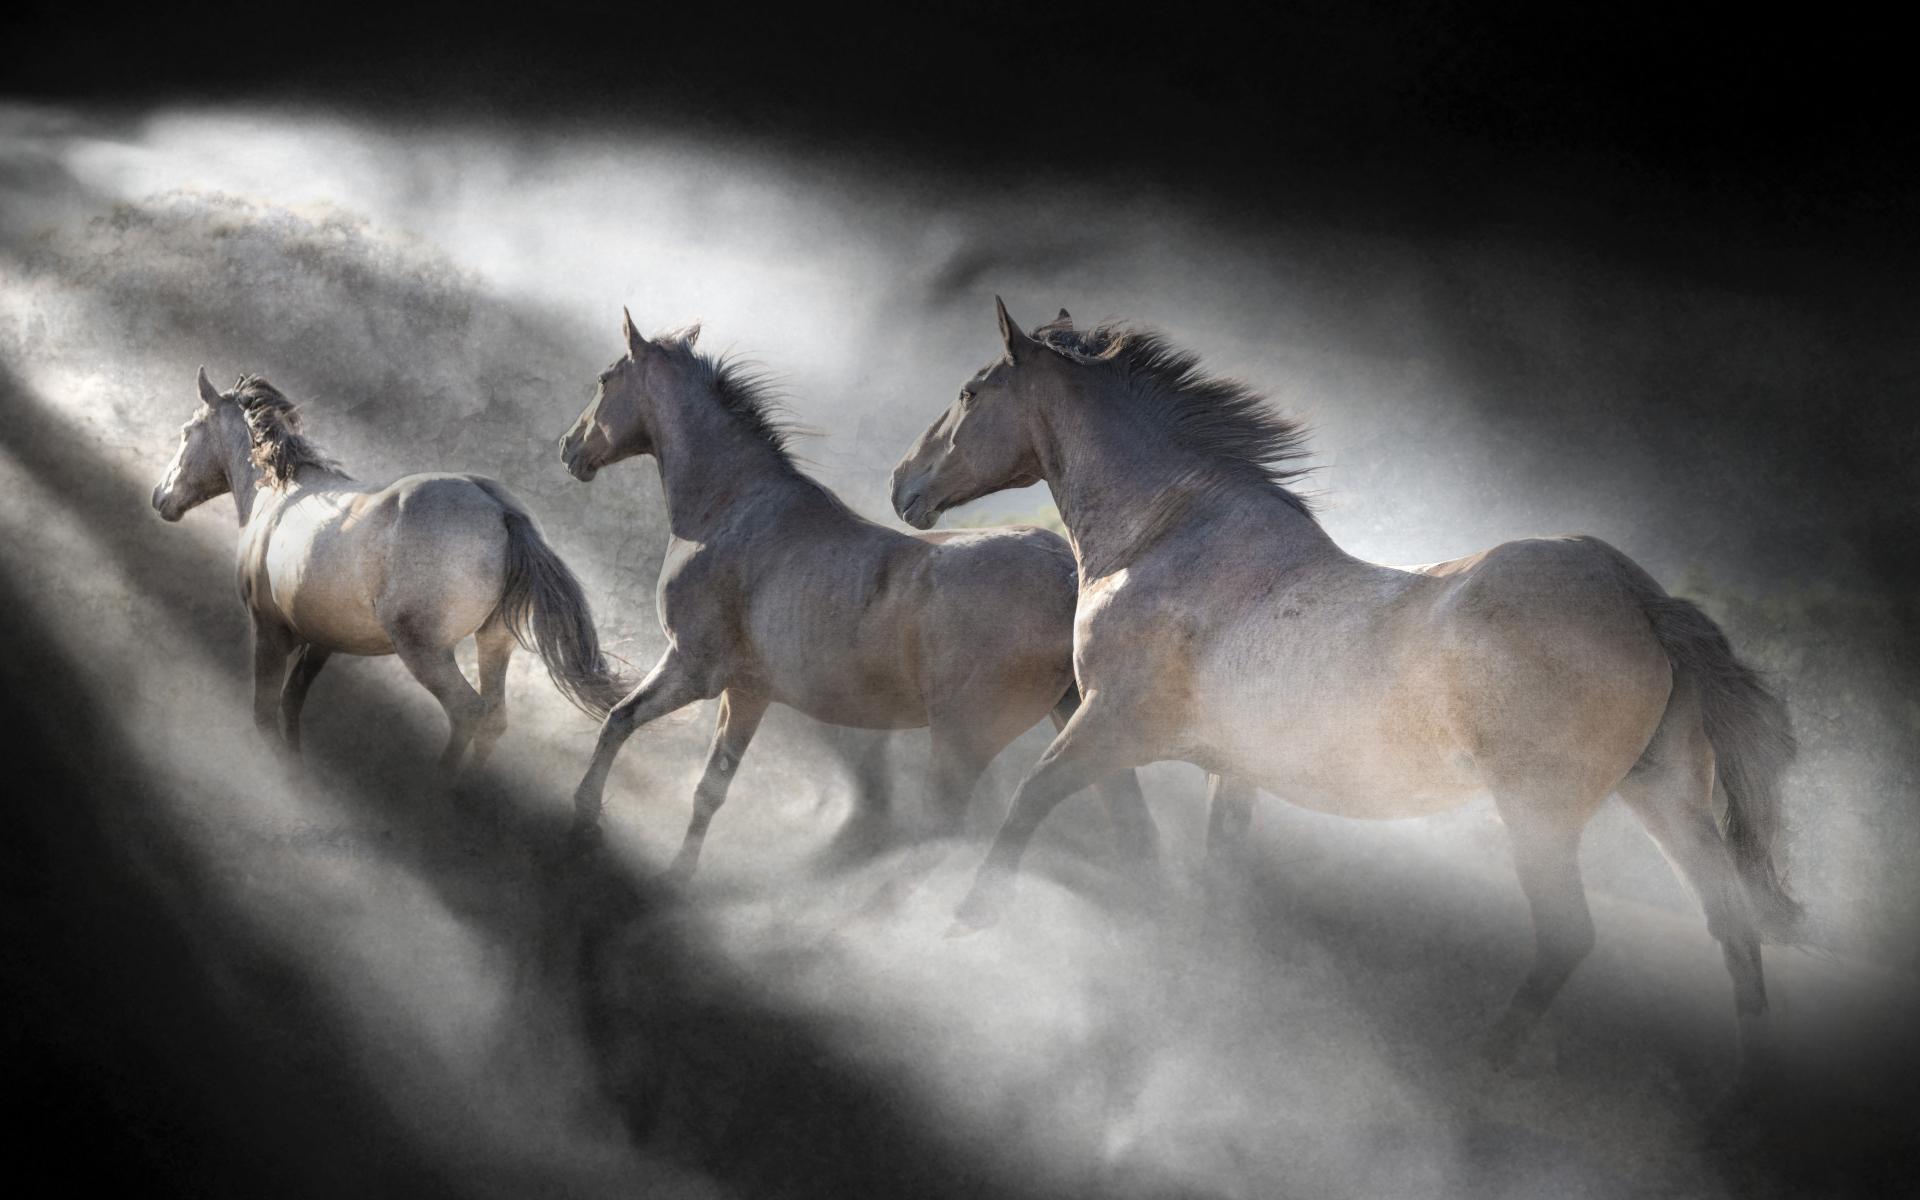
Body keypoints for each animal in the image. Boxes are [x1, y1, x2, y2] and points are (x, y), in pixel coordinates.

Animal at [153, 364, 629, 771]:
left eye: (187, 431)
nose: (161, 496)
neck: (280, 495)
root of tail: (499, 509)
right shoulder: (320, 641)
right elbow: (291, 704)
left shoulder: (269, 632)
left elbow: (265, 714)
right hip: (494, 643)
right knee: (494, 718)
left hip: (425, 651)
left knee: (468, 712)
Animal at [556, 309, 1152, 879]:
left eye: (606, 379)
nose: (568, 447)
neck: (729, 508)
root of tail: (1071, 574)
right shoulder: (747, 691)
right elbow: (710, 788)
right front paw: (678, 873)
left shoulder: (693, 668)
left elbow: (619, 721)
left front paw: (585, 817)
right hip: (1076, 727)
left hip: (965, 743)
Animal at [887, 299, 1797, 1067]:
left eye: (970, 392)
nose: (903, 487)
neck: (1166, 539)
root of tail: (1637, 596)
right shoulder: (1230, 771)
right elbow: (1216, 873)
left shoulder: (1111, 725)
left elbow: (1030, 798)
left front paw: (968, 918)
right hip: (1664, 796)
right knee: (1732, 927)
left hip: (1541, 811)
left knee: (1569, 937)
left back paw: (1481, 1064)